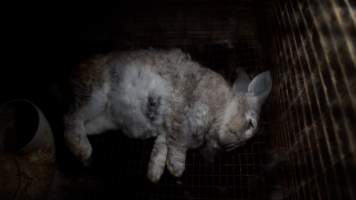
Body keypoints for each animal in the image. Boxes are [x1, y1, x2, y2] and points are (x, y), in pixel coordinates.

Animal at [63, 48, 272, 183]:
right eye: (251, 123)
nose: (234, 144)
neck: (221, 109)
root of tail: (77, 70)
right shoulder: (181, 111)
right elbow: (177, 144)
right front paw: (177, 169)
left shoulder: (166, 131)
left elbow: (161, 148)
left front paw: (154, 174)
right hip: (96, 96)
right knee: (71, 118)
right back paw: (84, 150)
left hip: (103, 120)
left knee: (81, 125)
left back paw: (84, 157)